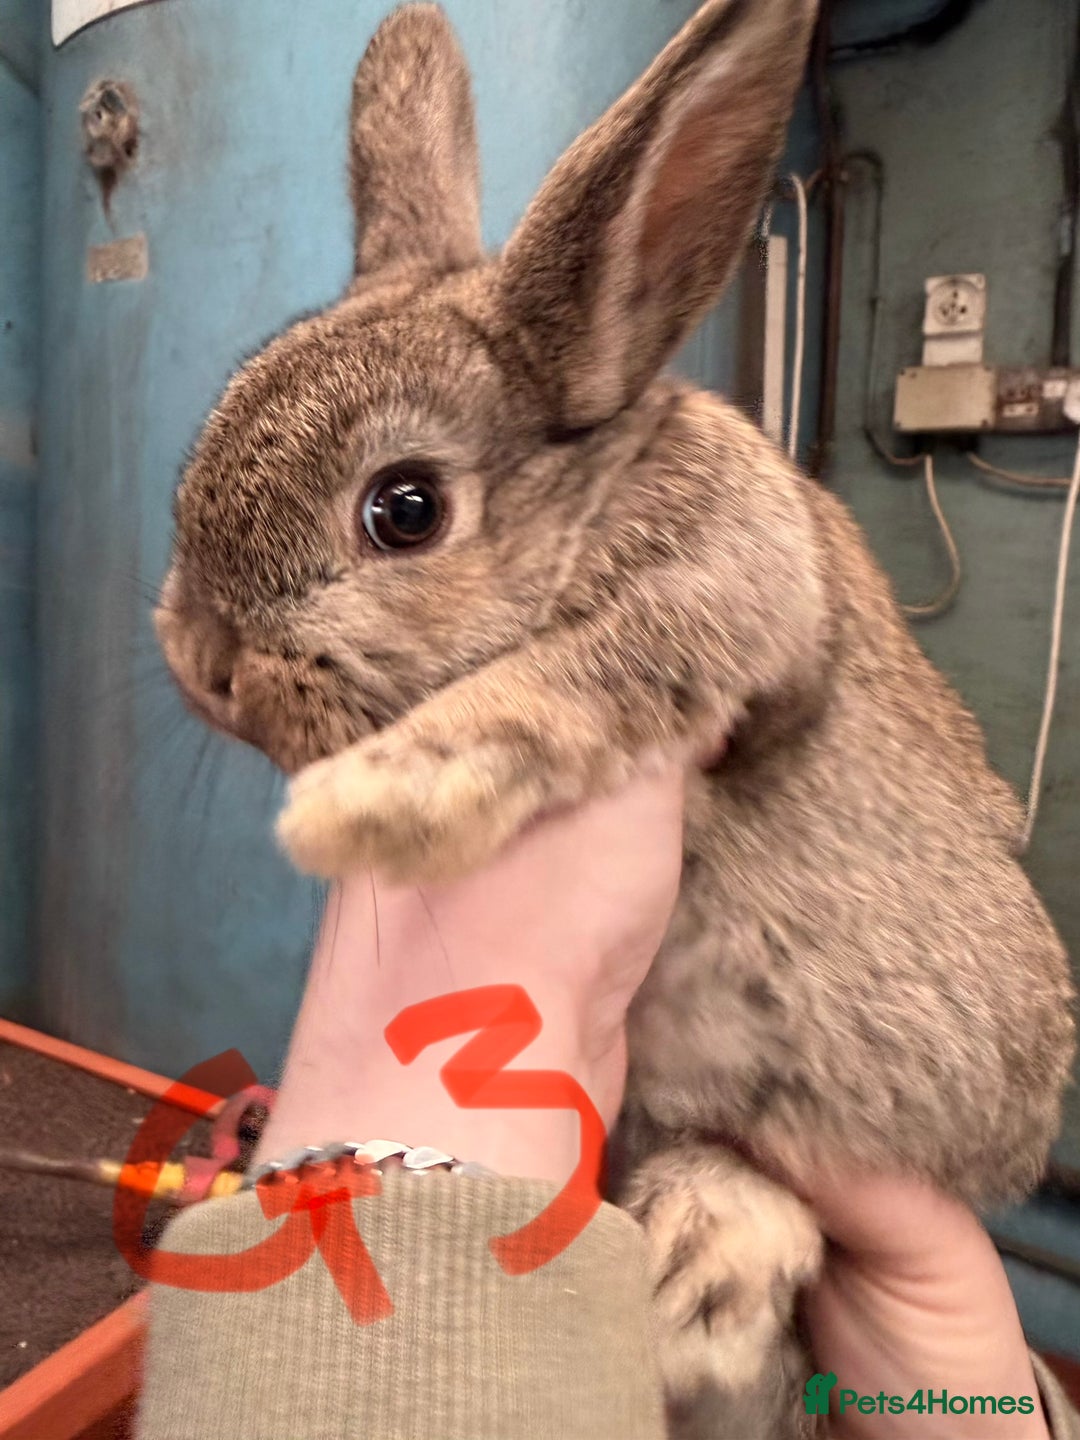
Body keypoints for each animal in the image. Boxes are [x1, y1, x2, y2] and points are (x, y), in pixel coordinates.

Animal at [155, 1, 1075, 1435]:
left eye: (405, 510)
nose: (199, 659)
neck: (586, 504)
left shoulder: (727, 600)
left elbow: (564, 682)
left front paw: (366, 804)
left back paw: (697, 1278)